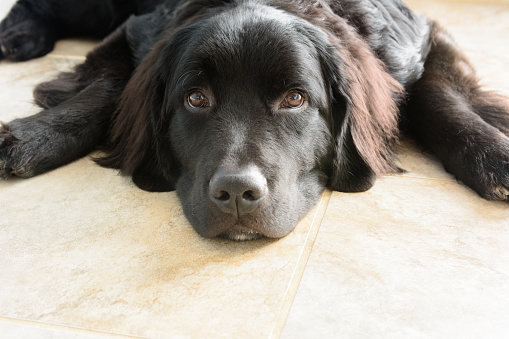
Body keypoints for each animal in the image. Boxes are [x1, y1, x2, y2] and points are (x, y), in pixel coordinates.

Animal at [0, 0, 508, 240]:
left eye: (294, 99)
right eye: (196, 98)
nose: (236, 193)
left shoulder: (419, 39)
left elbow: (439, 98)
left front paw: (495, 154)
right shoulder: (135, 33)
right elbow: (108, 88)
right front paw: (30, 137)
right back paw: (19, 36)